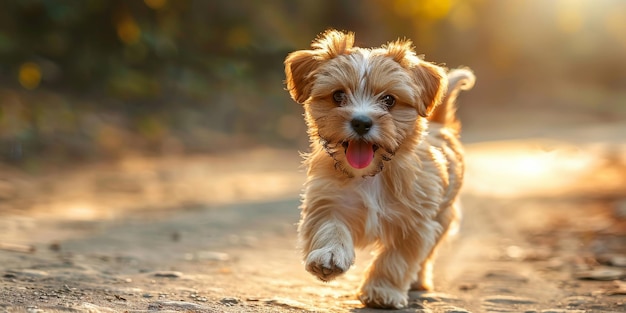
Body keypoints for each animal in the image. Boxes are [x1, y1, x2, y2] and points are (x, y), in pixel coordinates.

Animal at [282, 29, 472, 308]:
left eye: (389, 100)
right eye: (338, 96)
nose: (361, 122)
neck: (371, 175)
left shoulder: (415, 224)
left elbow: (396, 260)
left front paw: (383, 291)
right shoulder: (328, 201)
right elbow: (331, 228)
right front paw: (329, 256)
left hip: (442, 217)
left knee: (426, 256)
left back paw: (418, 281)